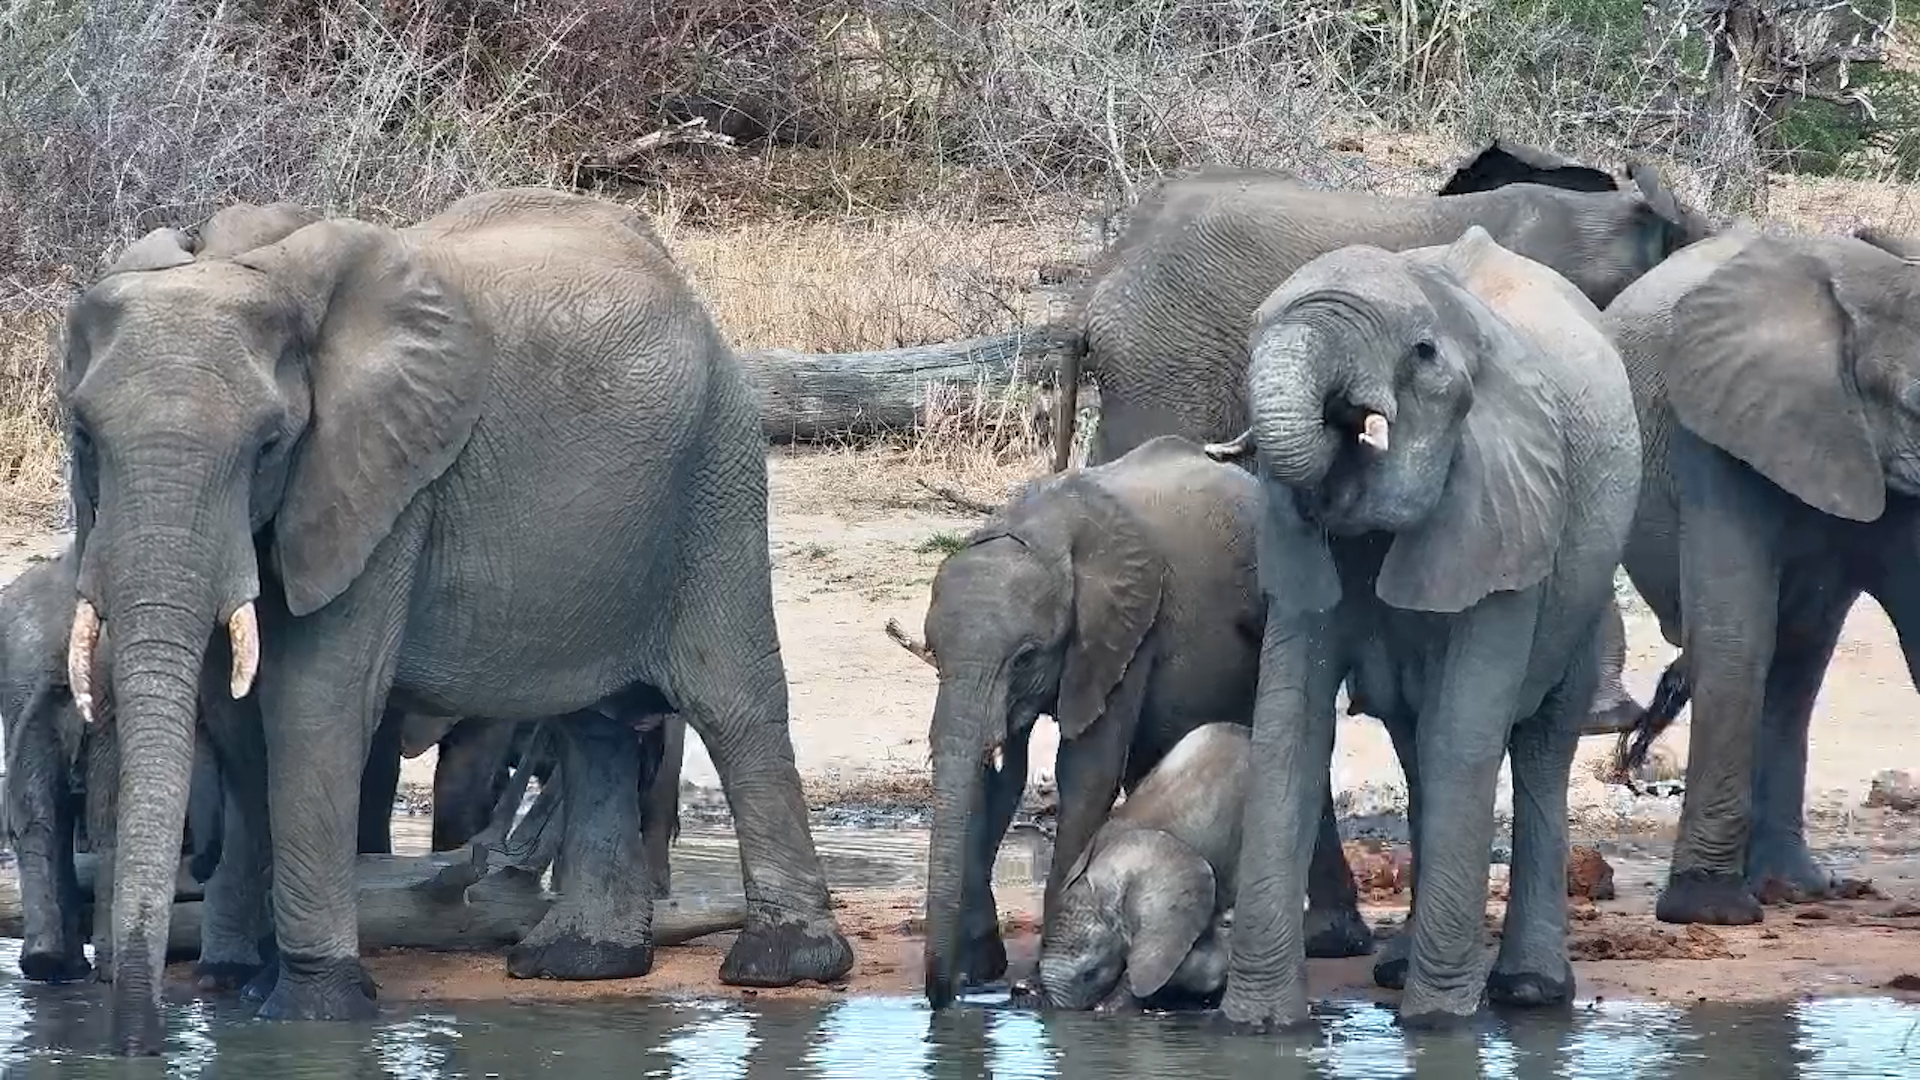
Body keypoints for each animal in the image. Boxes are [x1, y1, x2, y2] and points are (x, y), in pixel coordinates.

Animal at [57, 186, 852, 1054]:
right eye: (83, 437)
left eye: (268, 445)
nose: (135, 1045)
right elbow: (237, 723)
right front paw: (254, 994)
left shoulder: (385, 484)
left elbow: (314, 702)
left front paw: (314, 1010)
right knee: (595, 727)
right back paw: (579, 962)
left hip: (718, 466)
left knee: (732, 703)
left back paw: (783, 966)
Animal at [1208, 226, 1640, 1027]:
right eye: (1252, 329)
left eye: (1423, 354)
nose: (1349, 420)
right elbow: (1290, 724)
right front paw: (1258, 1026)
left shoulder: (1511, 501)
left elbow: (1465, 732)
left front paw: (1438, 1025)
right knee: (1415, 742)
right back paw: (1399, 968)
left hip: (1585, 583)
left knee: (1536, 743)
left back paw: (1528, 991)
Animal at [1607, 227, 1920, 924]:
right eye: (1917, 403)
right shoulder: (1712, 428)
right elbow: (1736, 637)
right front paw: (1708, 911)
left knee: (1799, 660)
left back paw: (1791, 888)